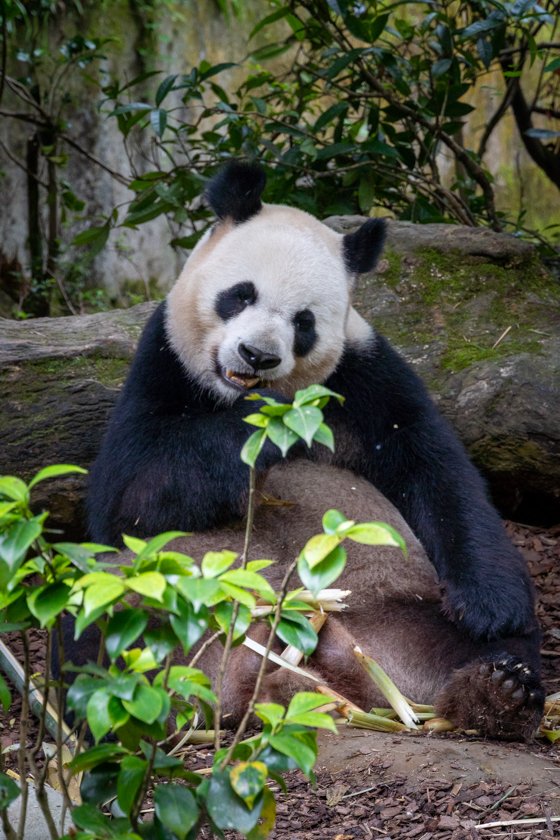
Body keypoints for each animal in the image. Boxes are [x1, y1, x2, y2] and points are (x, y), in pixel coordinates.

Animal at [87, 161, 543, 739]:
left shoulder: (370, 377)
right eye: (241, 294)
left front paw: (489, 606)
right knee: (103, 612)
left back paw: (496, 693)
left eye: (303, 321)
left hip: (405, 614)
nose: (256, 355)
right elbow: (130, 501)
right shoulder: (160, 366)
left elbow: (438, 476)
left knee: (506, 645)